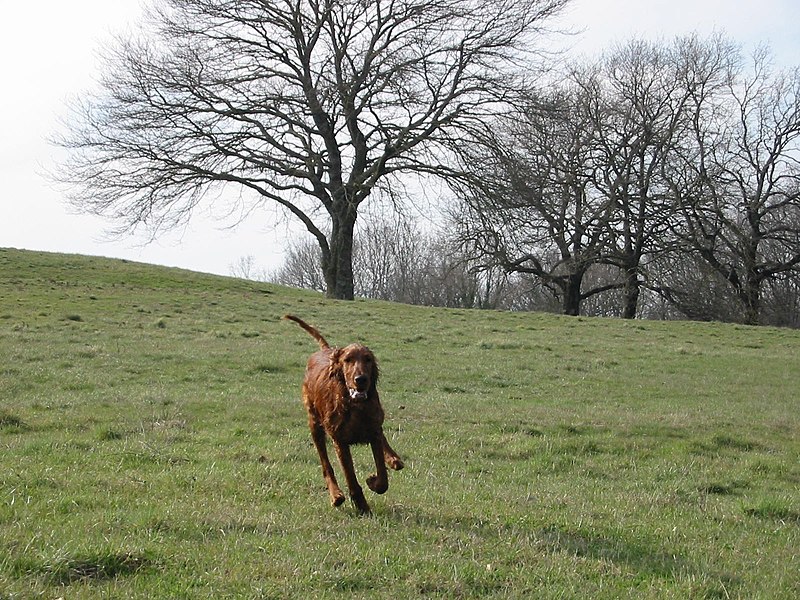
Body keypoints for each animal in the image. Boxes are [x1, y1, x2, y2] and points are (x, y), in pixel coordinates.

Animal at [284, 316, 404, 512]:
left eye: (368, 359)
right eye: (348, 360)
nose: (361, 379)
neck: (355, 406)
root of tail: (325, 350)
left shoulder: (373, 432)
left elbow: (383, 478)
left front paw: (373, 481)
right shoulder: (340, 441)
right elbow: (351, 479)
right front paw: (362, 506)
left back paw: (394, 458)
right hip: (314, 425)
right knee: (326, 465)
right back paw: (336, 496)